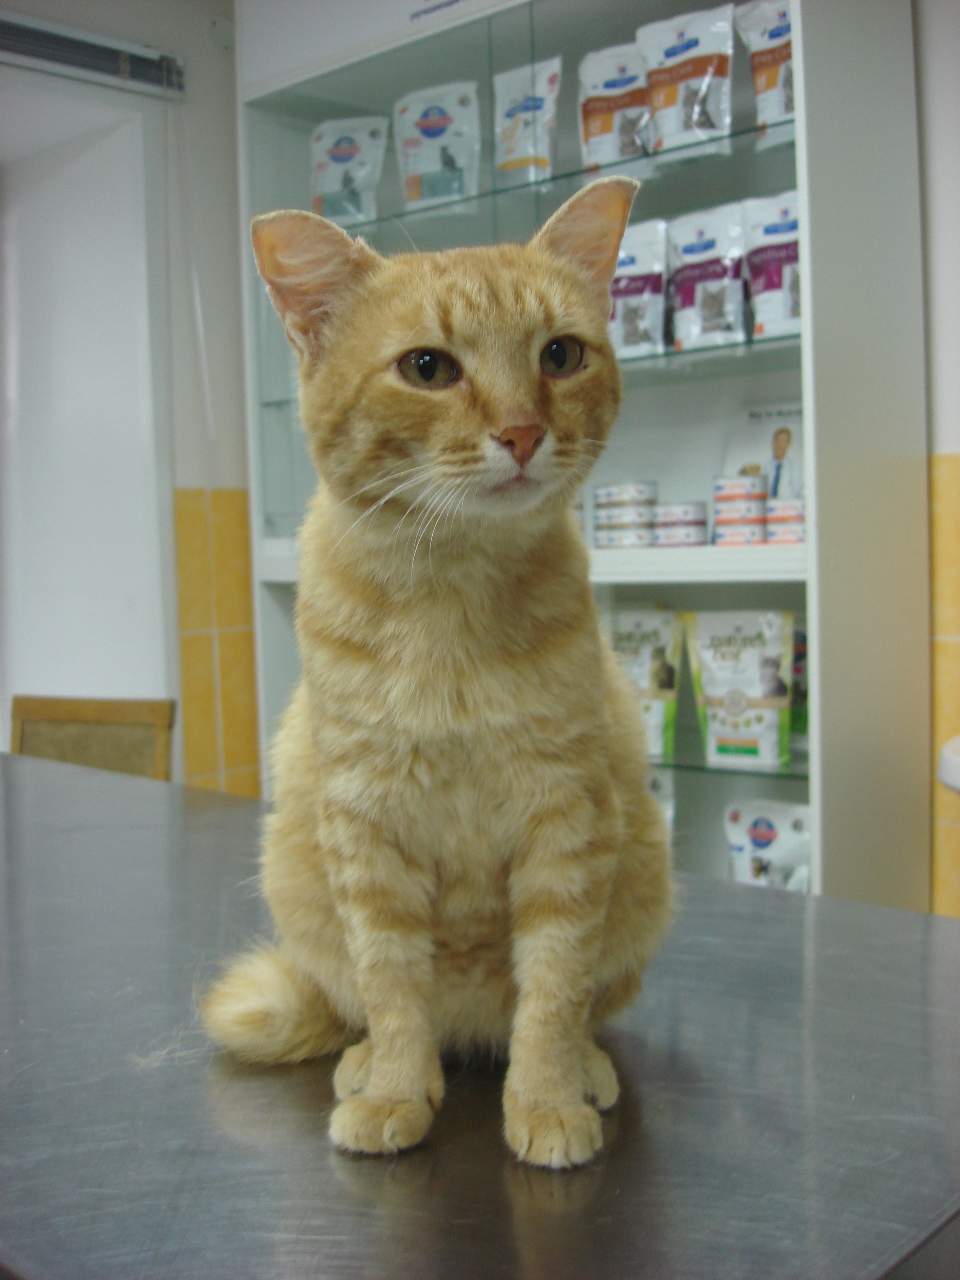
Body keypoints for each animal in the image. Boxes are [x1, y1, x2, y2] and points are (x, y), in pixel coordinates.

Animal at [200, 178, 672, 1170]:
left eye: (561, 354)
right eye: (428, 368)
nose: (523, 432)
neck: (451, 601)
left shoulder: (568, 819)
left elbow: (553, 989)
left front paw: (546, 1099)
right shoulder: (365, 828)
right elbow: (390, 985)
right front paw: (393, 1090)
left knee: (578, 1011)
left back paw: (585, 1070)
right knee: (362, 1009)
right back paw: (369, 1065)